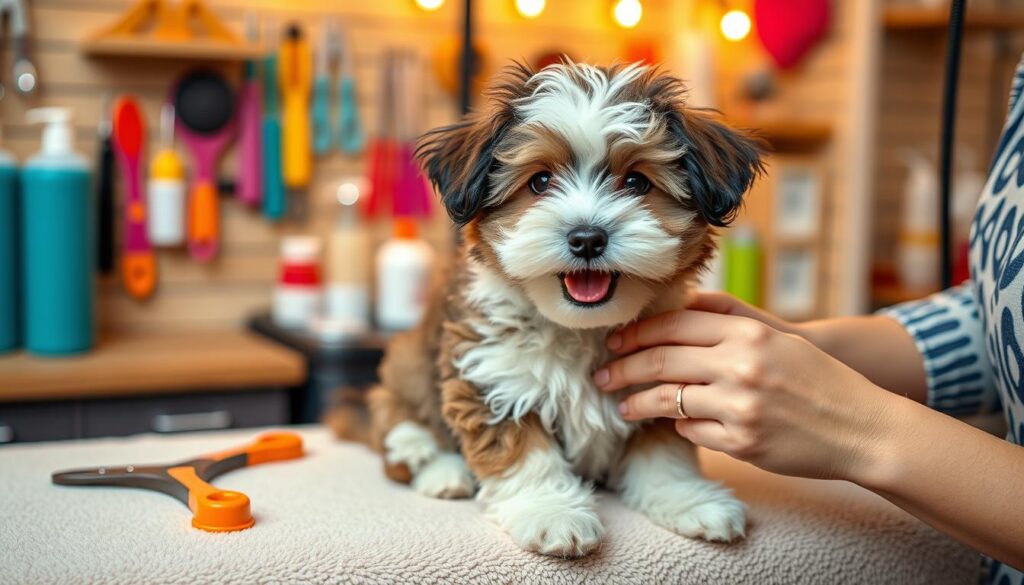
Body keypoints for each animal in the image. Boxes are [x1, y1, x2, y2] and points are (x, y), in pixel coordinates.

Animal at [364, 61, 765, 561]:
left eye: (636, 182)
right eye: (539, 181)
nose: (587, 238)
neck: (583, 328)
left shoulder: (658, 379)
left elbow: (663, 451)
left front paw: (687, 499)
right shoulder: (491, 374)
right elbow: (524, 453)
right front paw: (552, 513)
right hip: (407, 366)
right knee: (398, 428)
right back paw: (439, 469)